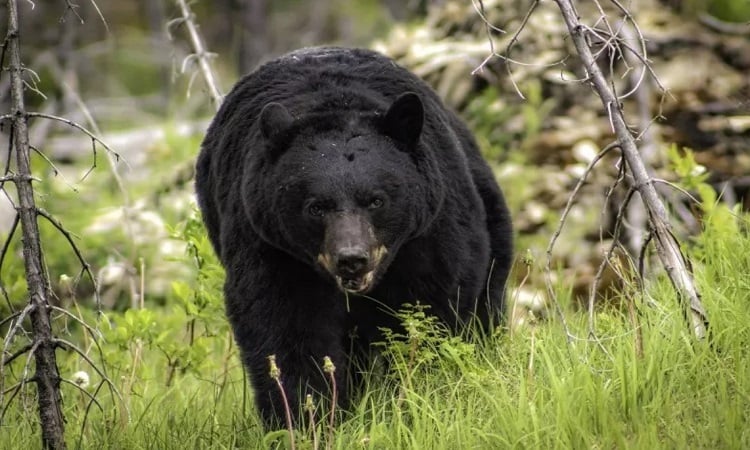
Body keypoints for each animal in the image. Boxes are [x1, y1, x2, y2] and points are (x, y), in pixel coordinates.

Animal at [194, 46, 516, 428]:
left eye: (376, 200)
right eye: (316, 207)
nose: (351, 258)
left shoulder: (429, 233)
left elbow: (432, 309)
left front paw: (418, 397)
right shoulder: (270, 245)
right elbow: (286, 327)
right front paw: (309, 417)